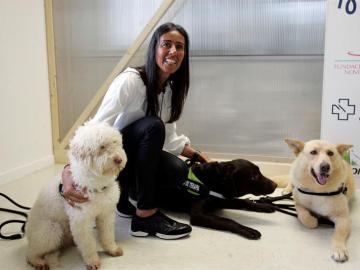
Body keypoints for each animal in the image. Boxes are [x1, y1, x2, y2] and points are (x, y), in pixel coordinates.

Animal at [25, 121, 126, 268]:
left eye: (115, 142)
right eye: (102, 147)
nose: (119, 159)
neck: (96, 182)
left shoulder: (106, 214)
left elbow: (107, 235)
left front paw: (112, 249)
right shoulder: (81, 221)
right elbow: (88, 244)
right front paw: (92, 261)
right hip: (51, 231)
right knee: (31, 252)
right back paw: (38, 262)